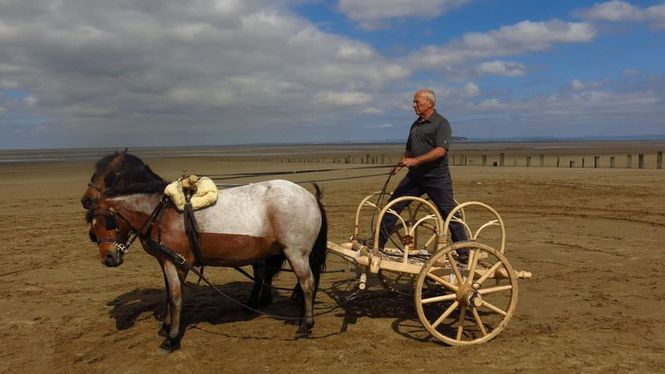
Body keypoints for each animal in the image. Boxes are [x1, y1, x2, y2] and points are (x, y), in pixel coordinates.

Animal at [80, 150, 326, 352]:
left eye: (108, 222)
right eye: (93, 228)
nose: (108, 257)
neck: (161, 212)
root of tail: (310, 196)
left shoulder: (176, 262)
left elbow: (175, 298)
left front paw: (171, 338)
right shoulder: (166, 260)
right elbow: (169, 294)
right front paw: (166, 327)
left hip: (296, 253)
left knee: (307, 284)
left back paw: (305, 325)